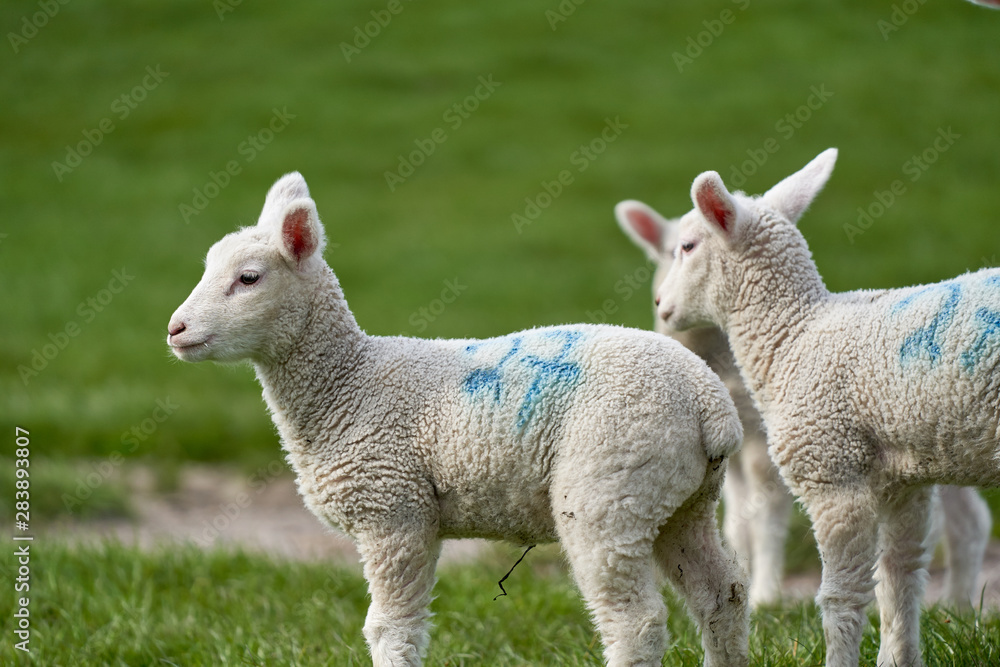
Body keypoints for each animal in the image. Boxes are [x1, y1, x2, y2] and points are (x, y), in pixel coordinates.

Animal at [166, 172, 750, 667]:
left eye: (248, 278)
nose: (175, 329)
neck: (349, 384)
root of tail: (709, 403)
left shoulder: (393, 512)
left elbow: (391, 629)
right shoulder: (409, 513)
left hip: (609, 489)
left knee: (636, 623)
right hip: (679, 501)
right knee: (723, 594)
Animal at [616, 200, 793, 607]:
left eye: (688, 248)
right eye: (669, 252)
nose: (664, 303)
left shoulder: (759, 433)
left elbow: (766, 506)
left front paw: (767, 595)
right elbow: (739, 513)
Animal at [652, 147, 998, 667]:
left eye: (688, 246)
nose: (660, 305)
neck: (794, 335)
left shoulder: (832, 473)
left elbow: (843, 595)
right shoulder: (904, 482)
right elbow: (900, 578)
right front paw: (898, 658)